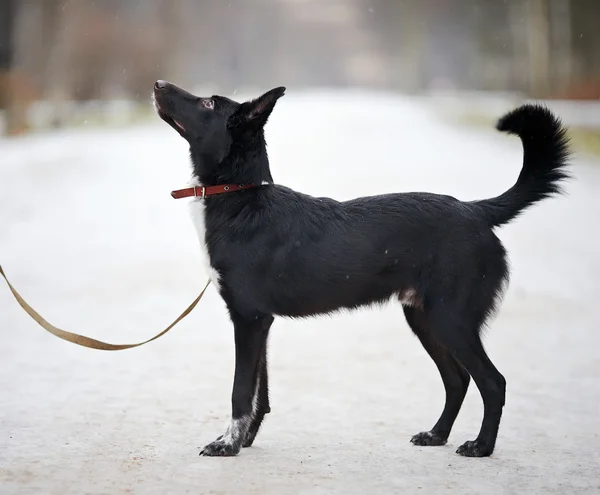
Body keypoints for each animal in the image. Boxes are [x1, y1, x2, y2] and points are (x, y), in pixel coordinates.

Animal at [152, 80, 568, 458]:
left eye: (208, 103)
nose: (157, 83)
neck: (241, 197)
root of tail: (475, 210)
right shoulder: (259, 322)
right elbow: (260, 393)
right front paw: (246, 439)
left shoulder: (250, 319)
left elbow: (241, 391)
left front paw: (228, 445)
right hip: (425, 319)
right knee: (458, 380)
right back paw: (437, 435)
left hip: (452, 319)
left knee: (492, 382)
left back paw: (481, 446)